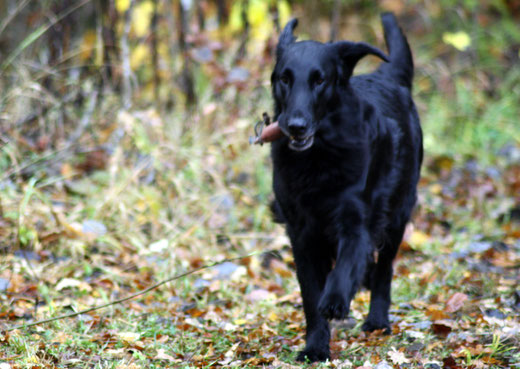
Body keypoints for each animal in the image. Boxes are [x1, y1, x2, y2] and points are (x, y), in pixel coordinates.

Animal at [268, 12, 422, 360]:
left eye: (319, 80)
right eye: (284, 79)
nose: (295, 126)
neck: (319, 158)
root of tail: (388, 76)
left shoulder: (357, 219)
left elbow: (347, 264)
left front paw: (335, 300)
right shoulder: (301, 234)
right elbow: (311, 295)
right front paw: (315, 346)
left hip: (397, 211)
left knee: (383, 270)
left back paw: (377, 320)